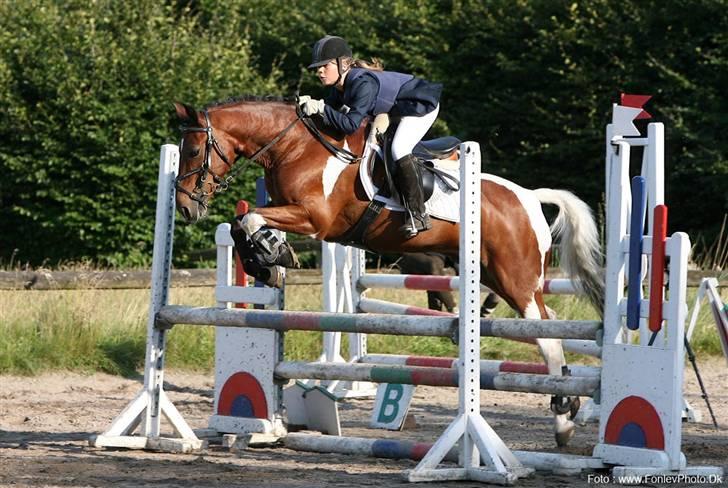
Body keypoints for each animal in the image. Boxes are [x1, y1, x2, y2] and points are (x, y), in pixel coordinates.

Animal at [173, 96, 604, 447]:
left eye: (193, 150)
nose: (185, 208)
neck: (295, 147)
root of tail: (528, 197)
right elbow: (241, 224)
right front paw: (268, 262)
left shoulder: (314, 218)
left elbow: (248, 218)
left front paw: (272, 258)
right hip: (495, 274)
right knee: (542, 323)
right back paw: (563, 408)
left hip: (517, 278)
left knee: (547, 337)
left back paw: (563, 418)